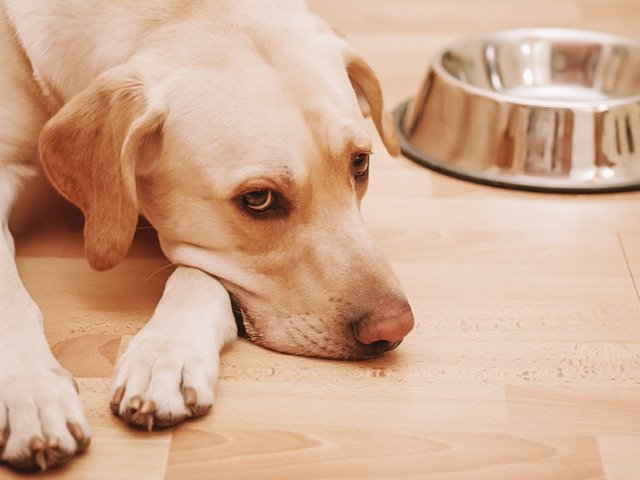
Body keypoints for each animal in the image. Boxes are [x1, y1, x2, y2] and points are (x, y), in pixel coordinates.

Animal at [0, 0, 416, 472]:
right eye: (258, 198)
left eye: (360, 163)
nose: (394, 328)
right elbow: (10, 297)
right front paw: (32, 390)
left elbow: (198, 276)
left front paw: (166, 356)